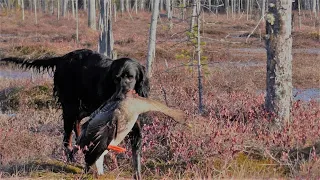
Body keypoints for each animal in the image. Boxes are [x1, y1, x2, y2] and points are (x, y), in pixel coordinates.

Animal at [1, 48, 149, 179]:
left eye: (130, 77)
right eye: (115, 79)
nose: (120, 95)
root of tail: (62, 58)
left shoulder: (135, 128)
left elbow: (136, 158)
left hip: (82, 108)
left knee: (78, 127)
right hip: (70, 108)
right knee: (67, 138)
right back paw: (71, 159)